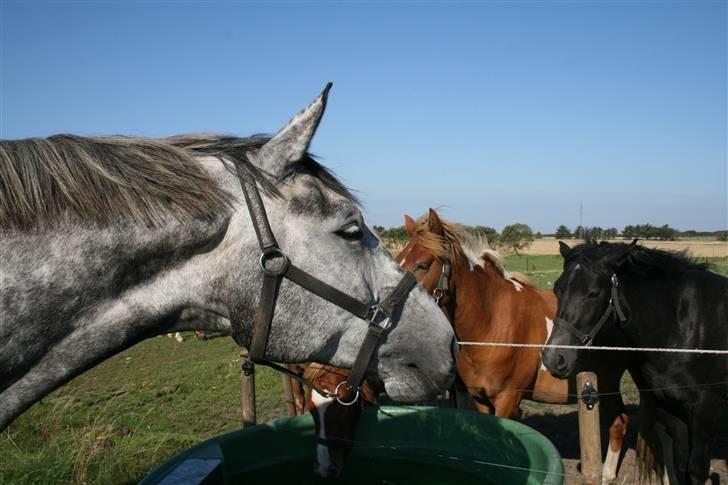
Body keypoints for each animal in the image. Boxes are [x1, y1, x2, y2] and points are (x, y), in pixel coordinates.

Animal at [392, 210, 632, 482]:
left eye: (423, 264)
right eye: (398, 259)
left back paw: (607, 474)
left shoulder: (507, 399)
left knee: (620, 422)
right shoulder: (480, 399)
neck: (493, 322)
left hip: (608, 382)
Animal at [544, 240, 724, 482]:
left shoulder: (706, 409)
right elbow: (678, 464)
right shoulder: (670, 406)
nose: (553, 358)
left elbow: (696, 470)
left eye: (594, 293)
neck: (683, 324)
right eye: (557, 289)